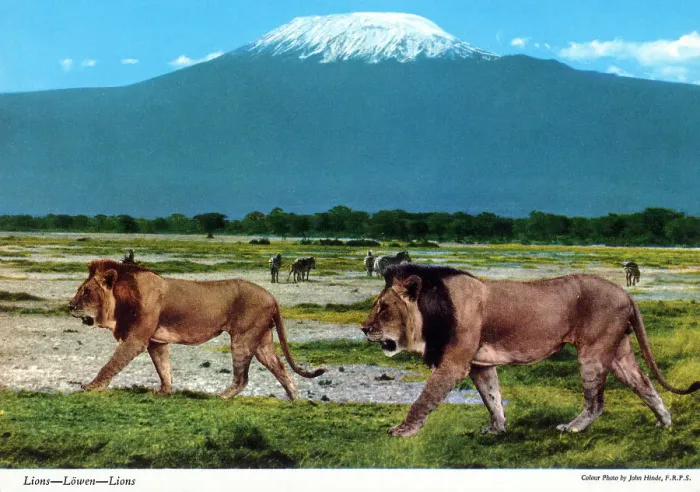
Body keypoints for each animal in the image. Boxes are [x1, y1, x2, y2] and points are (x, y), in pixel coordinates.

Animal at [68, 259, 325, 398]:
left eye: (86, 292)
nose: (70, 306)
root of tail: (272, 297)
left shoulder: (136, 339)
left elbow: (110, 364)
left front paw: (92, 386)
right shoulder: (156, 342)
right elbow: (163, 368)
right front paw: (164, 391)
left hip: (243, 338)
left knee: (242, 378)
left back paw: (221, 396)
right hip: (262, 341)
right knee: (280, 368)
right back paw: (295, 400)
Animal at [361, 264, 699, 437]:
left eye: (384, 309)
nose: (363, 328)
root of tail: (627, 294)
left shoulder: (454, 363)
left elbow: (424, 399)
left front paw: (402, 430)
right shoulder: (479, 364)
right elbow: (492, 397)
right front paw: (497, 429)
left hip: (592, 351)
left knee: (597, 401)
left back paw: (572, 428)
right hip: (618, 352)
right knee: (643, 383)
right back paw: (665, 422)